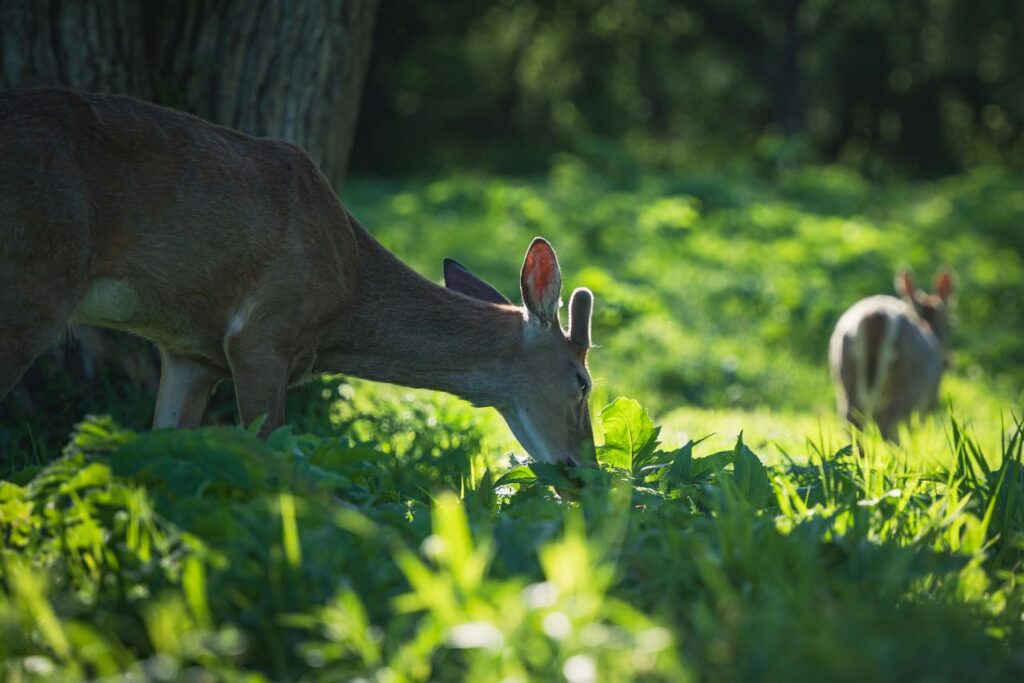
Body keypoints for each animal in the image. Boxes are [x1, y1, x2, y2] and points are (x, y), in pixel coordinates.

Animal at [0, 88, 597, 467]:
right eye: (582, 382)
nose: (585, 475)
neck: (348, 292)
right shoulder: (261, 335)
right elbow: (271, 453)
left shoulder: (190, 352)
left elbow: (165, 442)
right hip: (32, 278)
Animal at [828, 269, 955, 443]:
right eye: (951, 322)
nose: (949, 361)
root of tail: (875, 315)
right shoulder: (929, 397)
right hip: (908, 381)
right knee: (889, 424)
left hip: (844, 373)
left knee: (852, 422)